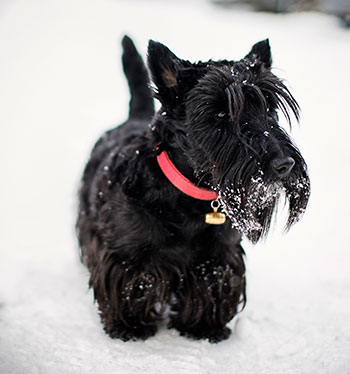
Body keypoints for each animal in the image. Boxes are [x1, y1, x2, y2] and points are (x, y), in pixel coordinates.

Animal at [76, 35, 308, 342]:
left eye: (269, 107)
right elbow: (130, 285)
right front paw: (130, 326)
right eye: (220, 113)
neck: (189, 197)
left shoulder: (217, 258)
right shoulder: (127, 255)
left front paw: (203, 326)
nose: (284, 164)